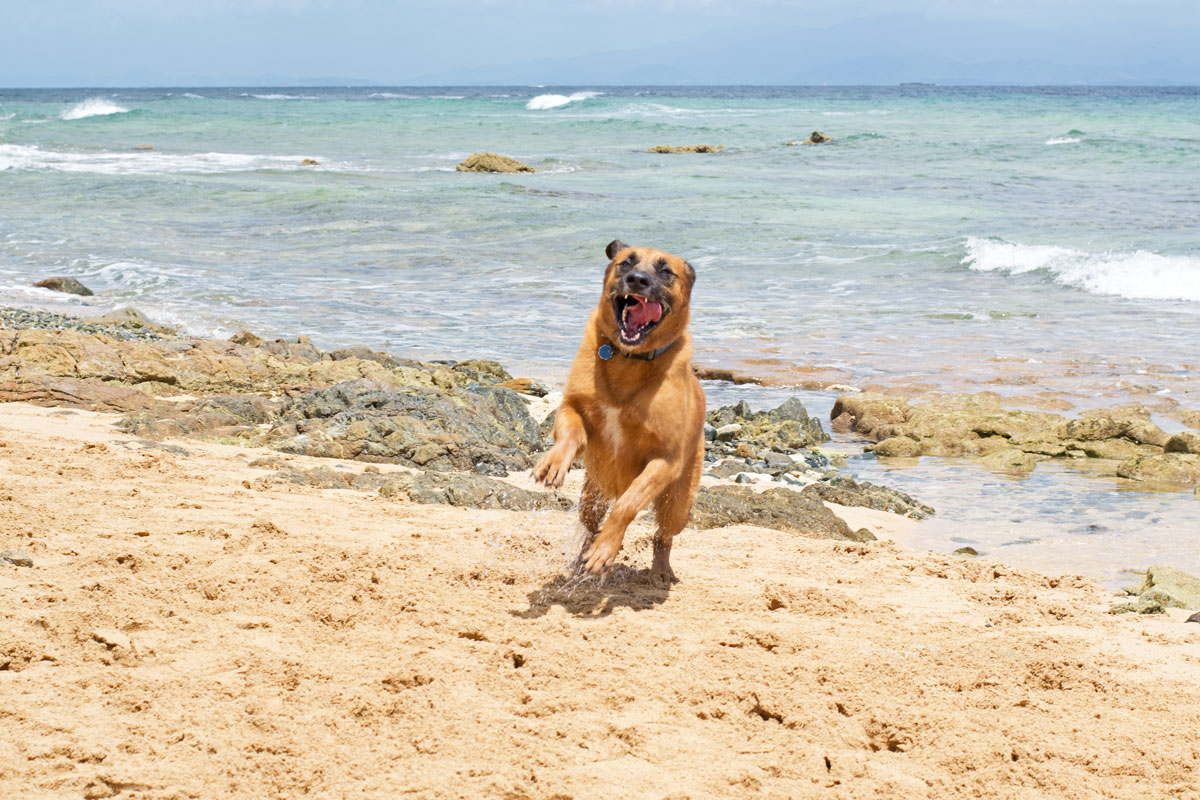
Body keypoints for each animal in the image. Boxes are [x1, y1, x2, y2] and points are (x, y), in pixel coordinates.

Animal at [532, 237, 700, 582]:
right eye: (626, 263)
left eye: (666, 271)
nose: (637, 280)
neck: (629, 359)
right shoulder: (572, 407)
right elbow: (570, 433)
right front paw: (553, 463)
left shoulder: (664, 460)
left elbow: (627, 505)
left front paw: (606, 550)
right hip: (592, 492)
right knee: (589, 524)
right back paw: (582, 558)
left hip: (678, 502)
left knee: (663, 534)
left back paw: (659, 570)